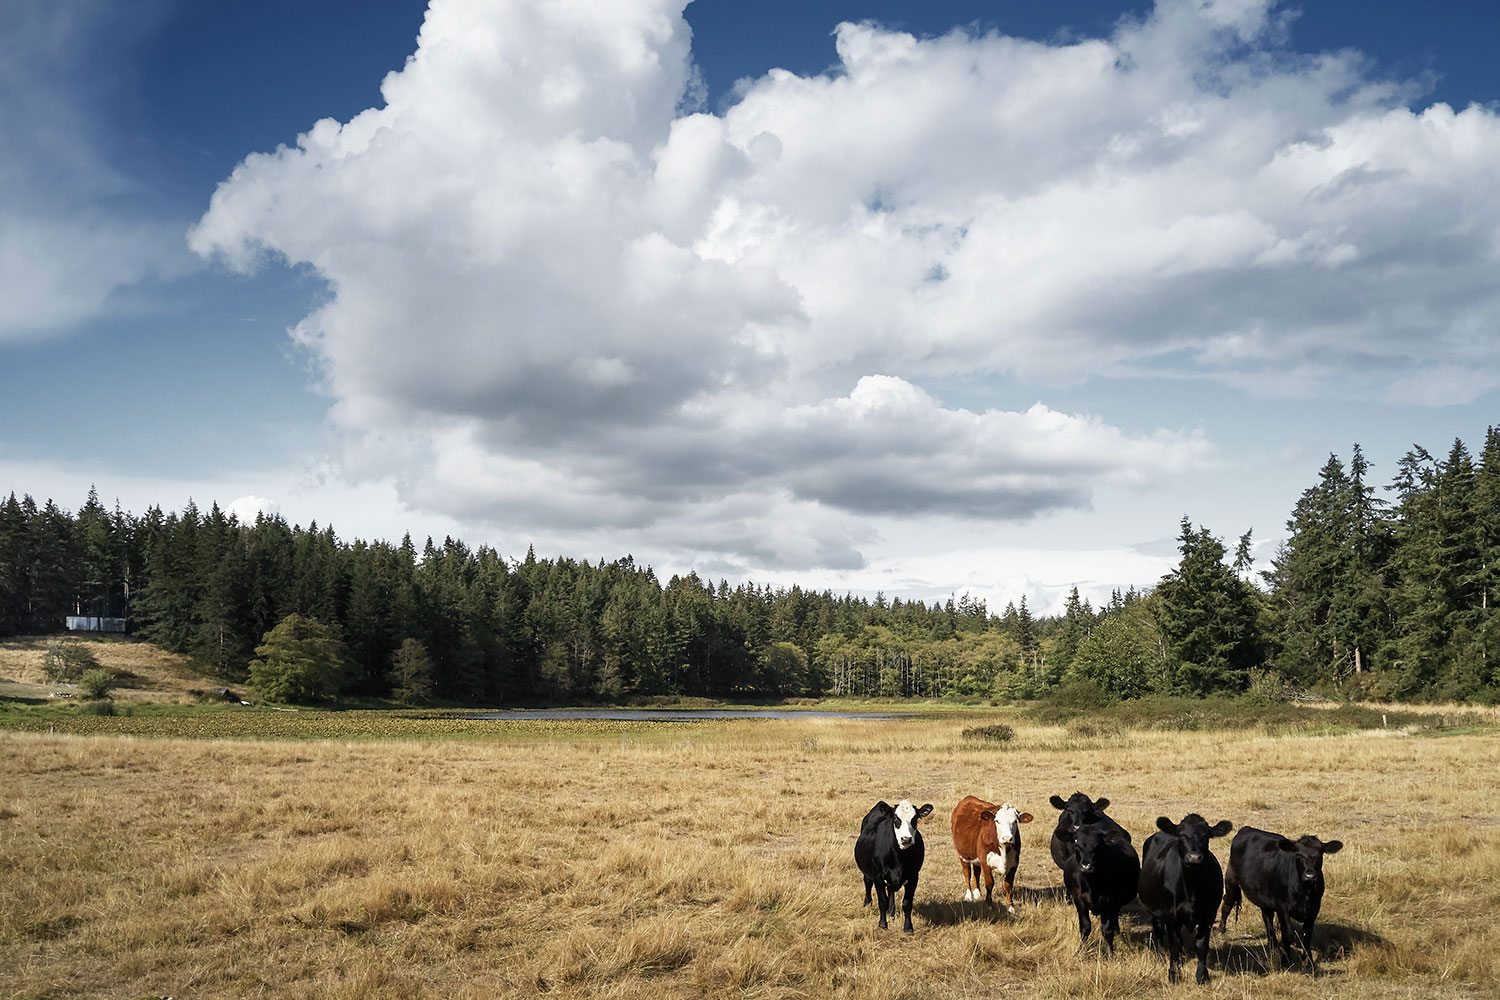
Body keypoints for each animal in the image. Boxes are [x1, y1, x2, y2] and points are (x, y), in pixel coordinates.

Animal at [852, 803, 930, 935]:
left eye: (915, 819)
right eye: (895, 819)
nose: (906, 839)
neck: (899, 857)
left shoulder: (914, 876)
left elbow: (907, 903)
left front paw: (908, 928)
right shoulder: (878, 876)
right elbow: (882, 901)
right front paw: (882, 924)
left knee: (891, 890)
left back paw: (891, 911)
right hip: (867, 873)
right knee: (868, 884)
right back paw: (868, 904)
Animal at [1050, 791, 1140, 953]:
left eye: (1099, 846)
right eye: (1069, 809)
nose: (1086, 866)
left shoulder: (1111, 902)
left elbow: (1107, 930)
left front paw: (1110, 953)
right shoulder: (1080, 900)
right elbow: (1085, 927)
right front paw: (1081, 951)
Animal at [1134, 815, 1230, 983]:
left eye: (1206, 836)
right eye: (1181, 835)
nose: (1194, 857)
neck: (1192, 888)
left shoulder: (1208, 915)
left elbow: (1201, 945)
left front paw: (1202, 975)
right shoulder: (1171, 915)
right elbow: (1175, 944)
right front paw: (1173, 974)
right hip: (1156, 910)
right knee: (1158, 930)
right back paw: (1159, 957)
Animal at [1218, 827, 1350, 971]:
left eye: (1320, 854)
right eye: (1298, 855)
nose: (1309, 876)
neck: (1305, 891)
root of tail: (1246, 828)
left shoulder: (1314, 908)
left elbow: (1307, 936)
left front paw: (1308, 961)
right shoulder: (1282, 907)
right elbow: (1288, 934)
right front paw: (1286, 961)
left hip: (1264, 899)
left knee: (1267, 919)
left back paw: (1273, 946)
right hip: (1231, 881)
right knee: (1227, 904)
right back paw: (1221, 929)